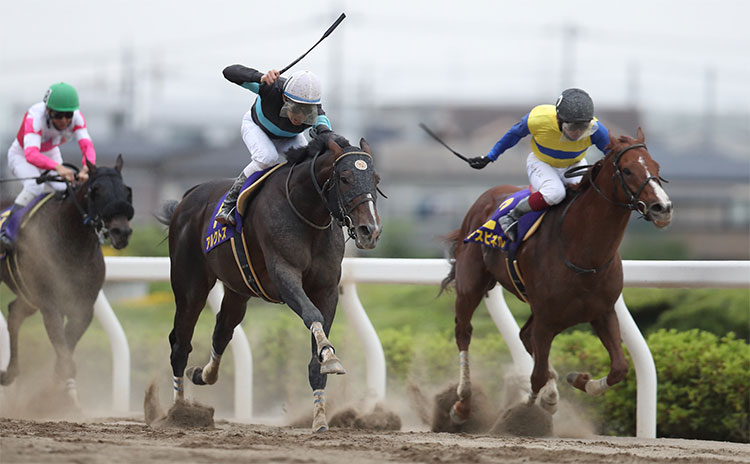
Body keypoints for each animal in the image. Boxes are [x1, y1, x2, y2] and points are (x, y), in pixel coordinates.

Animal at [0, 153, 134, 406]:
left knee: (14, 313)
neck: (71, 241)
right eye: (96, 190)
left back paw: (10, 373)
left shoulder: (82, 306)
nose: (121, 232)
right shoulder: (49, 302)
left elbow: (66, 347)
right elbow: (62, 347)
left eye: (127, 189)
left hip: (28, 294)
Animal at [440, 130, 676, 424]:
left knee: (524, 336)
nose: (662, 208)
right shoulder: (547, 318)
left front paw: (578, 380)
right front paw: (525, 411)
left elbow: (619, 368)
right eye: (628, 169)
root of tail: (486, 196)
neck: (582, 252)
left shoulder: (602, 311)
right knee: (464, 332)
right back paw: (462, 403)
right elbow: (537, 375)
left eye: (657, 167)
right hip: (470, 284)